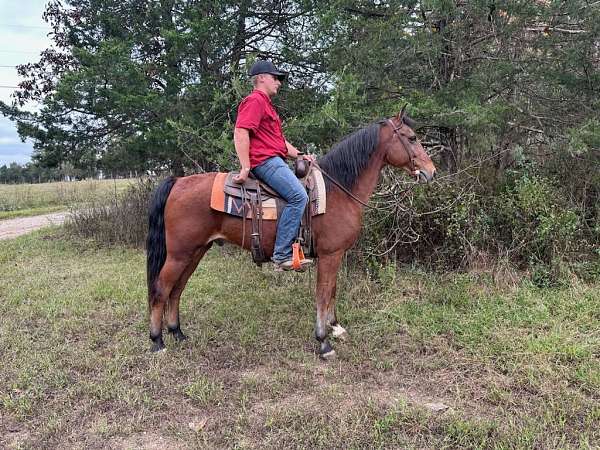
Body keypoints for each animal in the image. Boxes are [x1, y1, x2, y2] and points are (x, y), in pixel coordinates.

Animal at [145, 110, 436, 360]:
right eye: (412, 138)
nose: (431, 171)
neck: (339, 190)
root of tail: (178, 182)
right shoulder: (329, 255)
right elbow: (322, 294)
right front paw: (323, 341)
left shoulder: (337, 255)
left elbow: (332, 291)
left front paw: (336, 328)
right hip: (180, 254)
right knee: (161, 290)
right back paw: (158, 341)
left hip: (195, 251)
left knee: (177, 289)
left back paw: (178, 333)